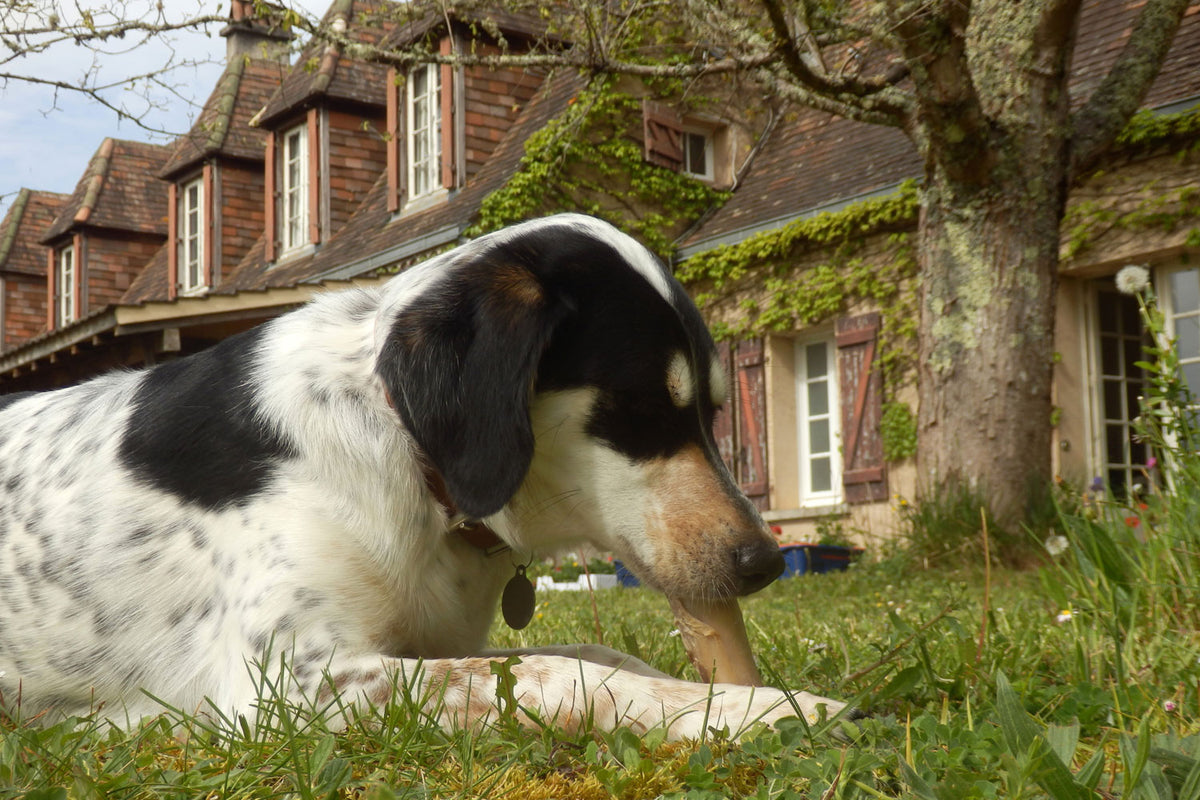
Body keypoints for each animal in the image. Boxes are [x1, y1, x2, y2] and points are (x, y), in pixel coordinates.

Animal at [0, 214, 849, 738]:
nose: (765, 561)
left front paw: (733, 696)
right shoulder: (287, 685)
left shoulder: (423, 646)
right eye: (640, 409)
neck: (403, 449)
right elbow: (555, 670)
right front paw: (759, 712)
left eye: (714, 409)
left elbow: (598, 655)